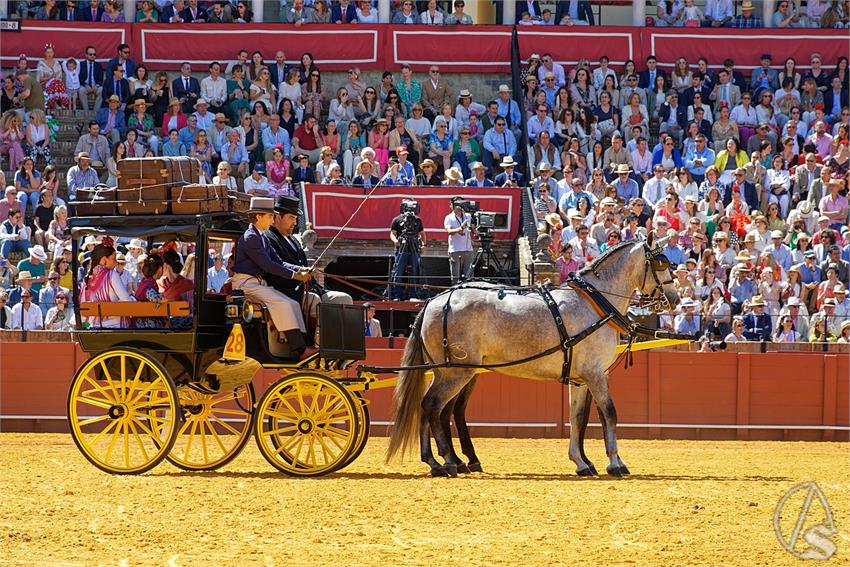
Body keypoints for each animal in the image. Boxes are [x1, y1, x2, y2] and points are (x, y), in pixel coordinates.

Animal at [386, 237, 676, 478]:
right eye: (661, 263)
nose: (673, 297)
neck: (595, 303)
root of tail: (435, 300)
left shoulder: (580, 378)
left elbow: (577, 418)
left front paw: (581, 462)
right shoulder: (595, 374)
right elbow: (609, 413)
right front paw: (615, 463)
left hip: (449, 371)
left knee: (438, 410)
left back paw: (444, 461)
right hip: (456, 372)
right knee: (432, 406)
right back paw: (442, 461)